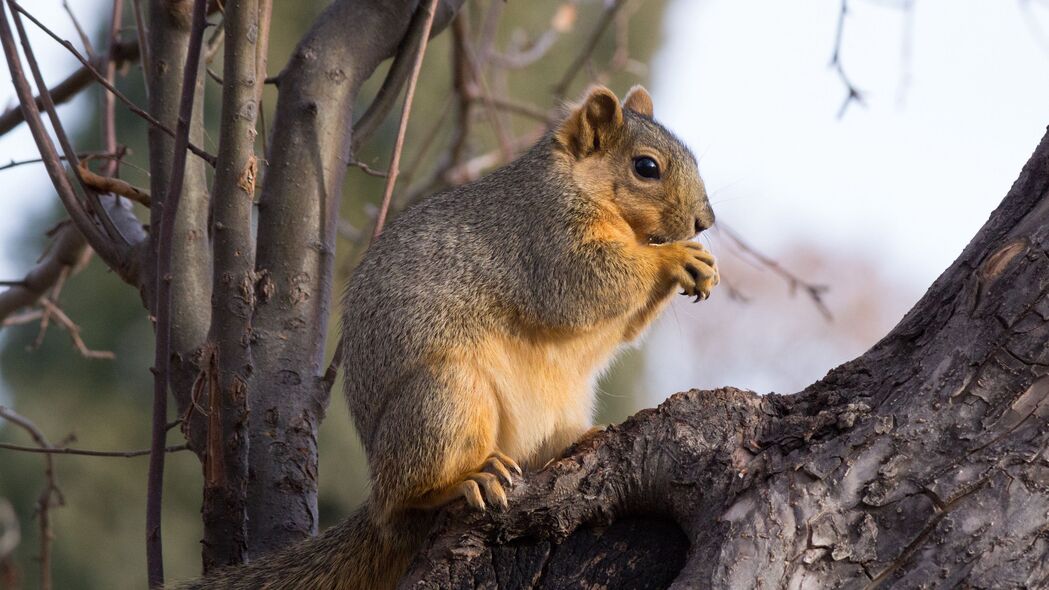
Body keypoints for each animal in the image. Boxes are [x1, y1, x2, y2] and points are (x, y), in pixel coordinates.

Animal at [174, 85, 713, 583]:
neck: (581, 186)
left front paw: (701, 267)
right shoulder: (543, 234)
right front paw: (674, 257)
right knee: (411, 495)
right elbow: (584, 283)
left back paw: (578, 440)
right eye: (646, 167)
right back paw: (464, 480)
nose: (704, 221)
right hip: (446, 397)